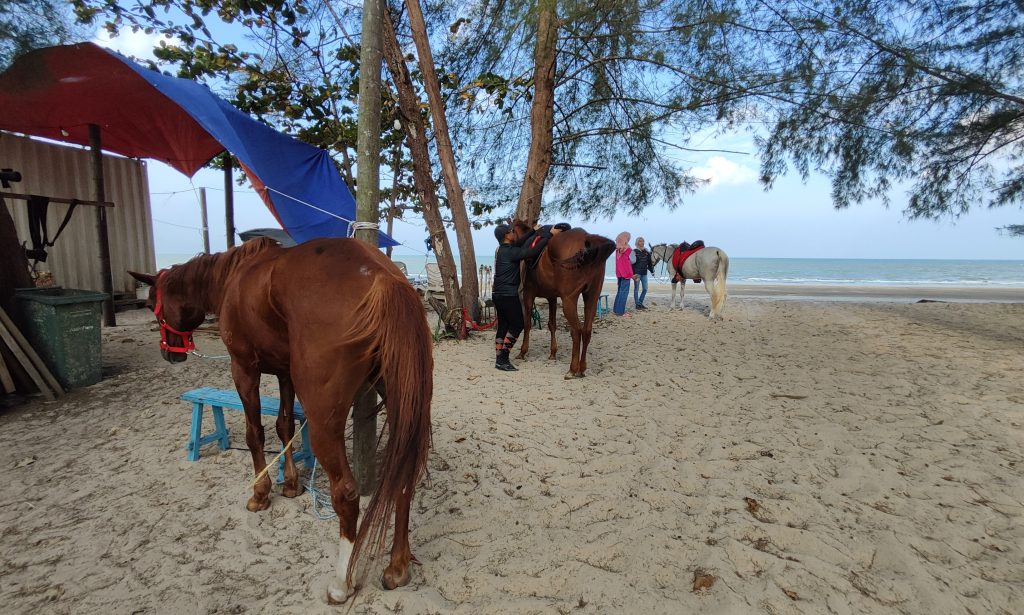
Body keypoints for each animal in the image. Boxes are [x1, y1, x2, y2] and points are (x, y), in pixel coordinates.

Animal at [129, 237, 432, 601]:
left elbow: (255, 433)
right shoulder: (284, 373)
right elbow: (284, 426)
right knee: (404, 476)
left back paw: (341, 583)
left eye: (150, 304)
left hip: (323, 420)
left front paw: (261, 493)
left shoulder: (244, 369)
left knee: (346, 493)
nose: (169, 353)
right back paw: (397, 567)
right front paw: (290, 484)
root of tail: (383, 277)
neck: (234, 278)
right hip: (402, 403)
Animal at [512, 217, 614, 376]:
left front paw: (523, 352)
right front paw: (553, 353)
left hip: (569, 301)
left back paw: (572, 369)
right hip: (591, 297)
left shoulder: (528, 295)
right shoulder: (552, 298)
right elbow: (552, 324)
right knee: (587, 331)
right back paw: (581, 368)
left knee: (577, 331)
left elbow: (527, 324)